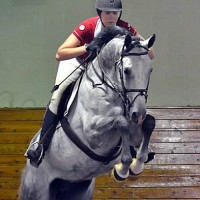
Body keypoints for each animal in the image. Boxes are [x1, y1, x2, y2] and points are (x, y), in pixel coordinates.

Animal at [18, 27, 156, 200]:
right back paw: (36, 153)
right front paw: (123, 169)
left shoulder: (135, 130)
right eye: (126, 70)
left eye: (150, 70)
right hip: (38, 189)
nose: (139, 114)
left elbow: (149, 123)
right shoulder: (92, 133)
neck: (109, 88)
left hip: (77, 188)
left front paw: (137, 165)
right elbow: (121, 122)